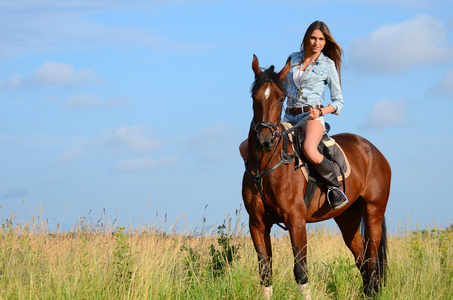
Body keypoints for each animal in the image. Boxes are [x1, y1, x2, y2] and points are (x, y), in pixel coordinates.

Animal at [240, 55, 392, 298]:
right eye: (255, 97)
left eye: (280, 98)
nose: (265, 141)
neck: (266, 168)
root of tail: (373, 150)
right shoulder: (257, 223)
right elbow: (265, 272)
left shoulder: (296, 221)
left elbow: (301, 271)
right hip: (347, 218)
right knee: (361, 260)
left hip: (373, 213)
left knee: (371, 261)